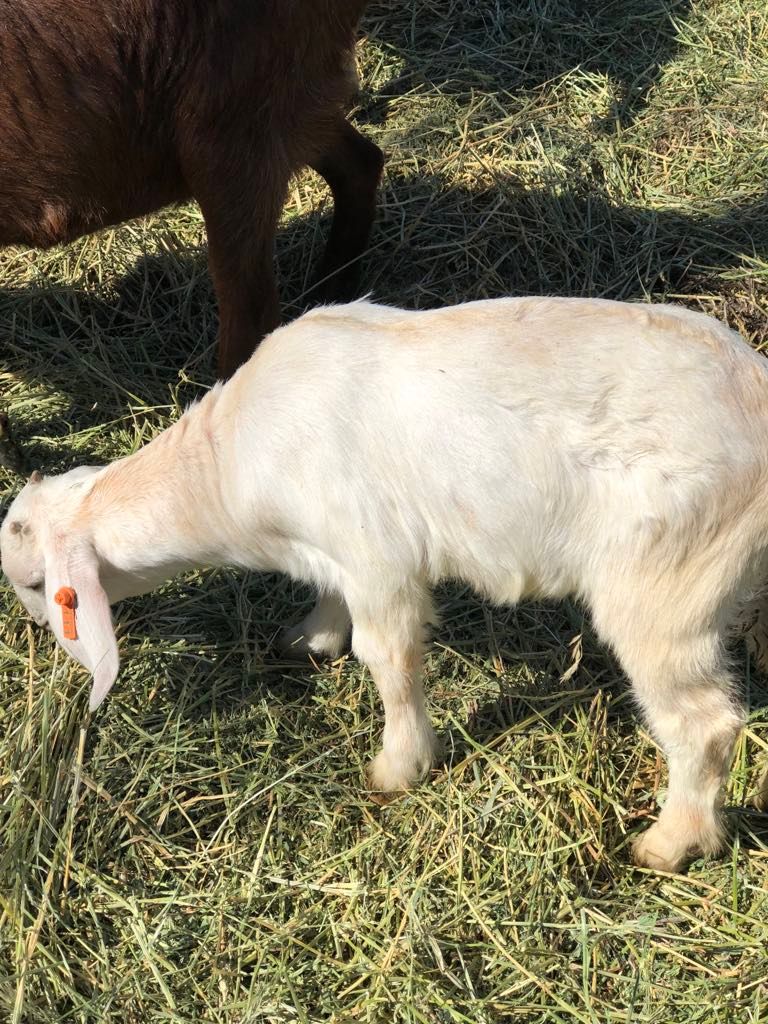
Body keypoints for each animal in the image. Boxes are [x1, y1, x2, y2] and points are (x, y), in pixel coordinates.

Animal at [3, 296, 767, 873]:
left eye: (41, 585)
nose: (36, 634)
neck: (224, 469)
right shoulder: (336, 554)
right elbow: (332, 606)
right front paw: (310, 638)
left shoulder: (378, 559)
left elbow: (389, 661)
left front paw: (397, 769)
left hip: (665, 582)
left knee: (704, 723)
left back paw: (669, 844)